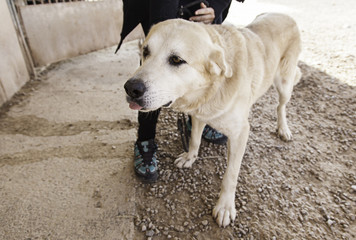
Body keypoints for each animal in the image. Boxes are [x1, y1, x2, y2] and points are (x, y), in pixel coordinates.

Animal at [124, 13, 300, 227]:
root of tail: (285, 14)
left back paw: (283, 128)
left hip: (284, 84)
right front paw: (190, 157)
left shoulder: (241, 134)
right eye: (145, 51)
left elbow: (230, 175)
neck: (212, 88)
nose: (131, 88)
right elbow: (194, 139)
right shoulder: (199, 115)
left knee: (280, 106)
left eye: (176, 59)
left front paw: (225, 207)